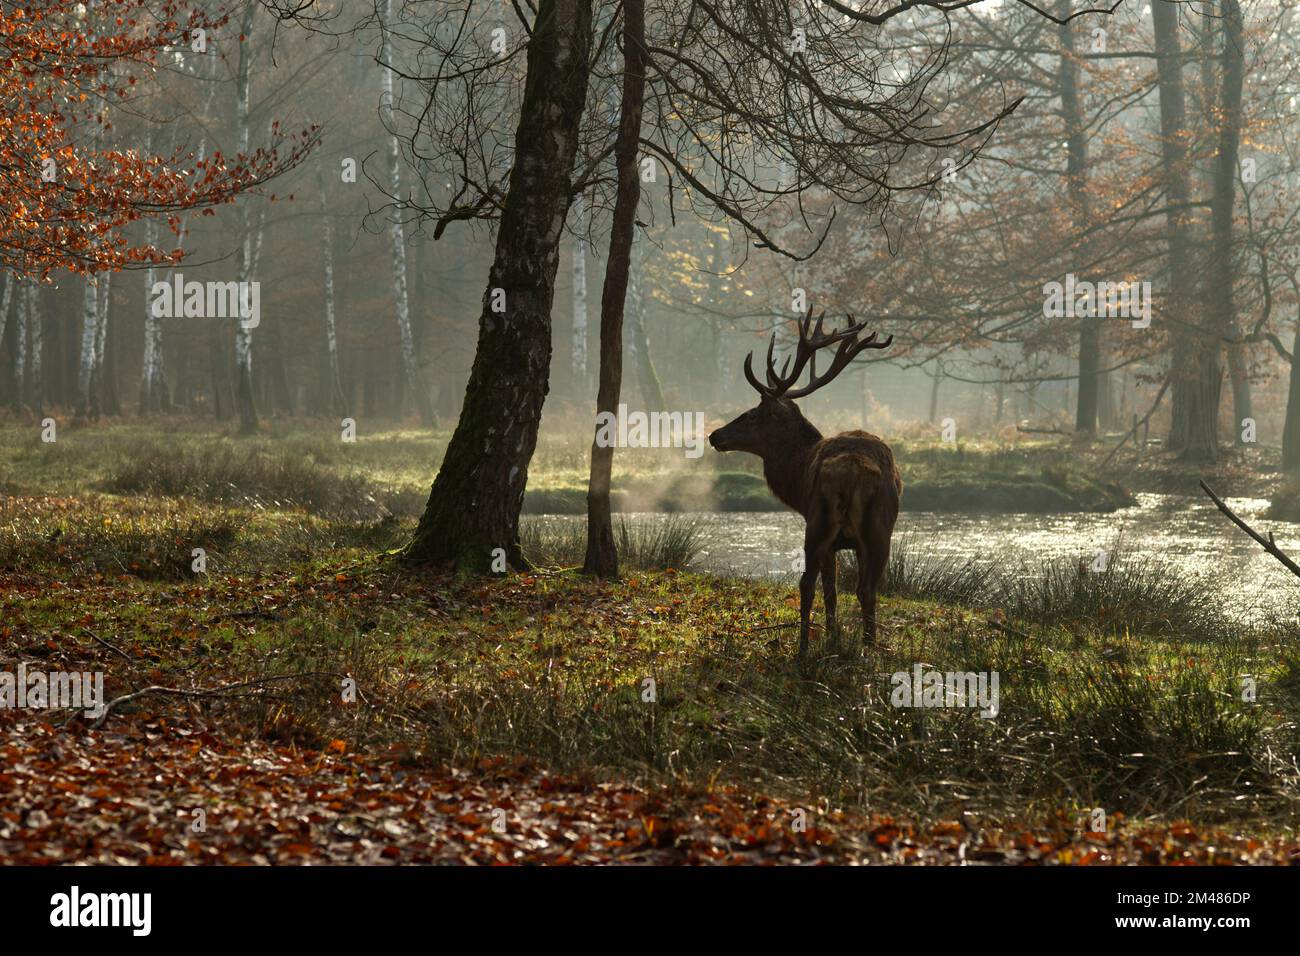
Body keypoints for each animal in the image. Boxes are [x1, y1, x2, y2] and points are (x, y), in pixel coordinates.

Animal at [708, 309, 901, 658]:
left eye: (752, 415)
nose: (714, 435)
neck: (796, 480)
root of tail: (853, 472)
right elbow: (840, 590)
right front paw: (837, 640)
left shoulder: (827, 536)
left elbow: (828, 590)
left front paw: (831, 639)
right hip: (881, 529)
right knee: (868, 589)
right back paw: (869, 650)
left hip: (819, 523)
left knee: (807, 584)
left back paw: (801, 652)